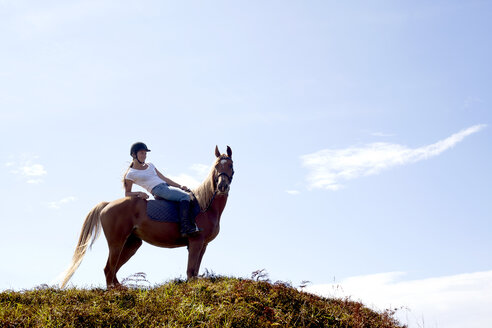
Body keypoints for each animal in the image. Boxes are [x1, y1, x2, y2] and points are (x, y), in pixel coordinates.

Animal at [61, 145, 234, 288]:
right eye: (216, 166)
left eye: (231, 165)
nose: (222, 186)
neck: (204, 207)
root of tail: (108, 204)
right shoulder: (195, 242)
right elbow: (191, 272)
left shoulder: (203, 245)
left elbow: (195, 272)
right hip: (117, 242)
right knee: (109, 269)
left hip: (131, 244)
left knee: (112, 269)